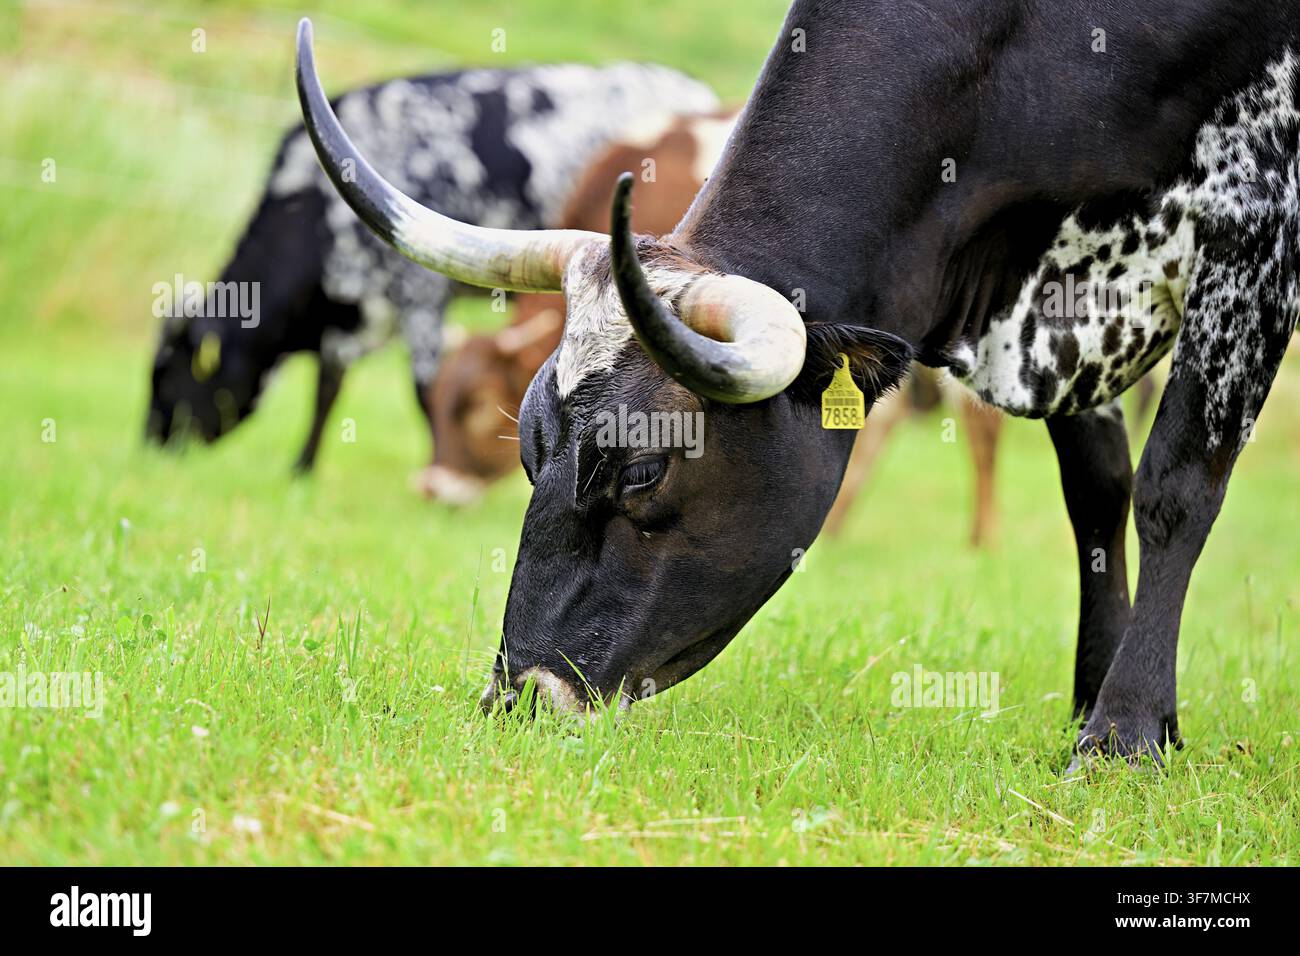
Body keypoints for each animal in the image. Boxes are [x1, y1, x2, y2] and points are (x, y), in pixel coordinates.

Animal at [146, 63, 718, 470]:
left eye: (169, 373)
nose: (150, 443)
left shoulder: (419, 292)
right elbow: (329, 387)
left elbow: (422, 387)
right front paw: (302, 468)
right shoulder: (354, 316)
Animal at [295, 0, 1300, 769]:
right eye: (529, 450)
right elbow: (1095, 493)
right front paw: (1097, 699)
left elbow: (1173, 490)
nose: (525, 698)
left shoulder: (1255, 231)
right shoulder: (1064, 306)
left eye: (644, 472)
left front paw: (1124, 734)